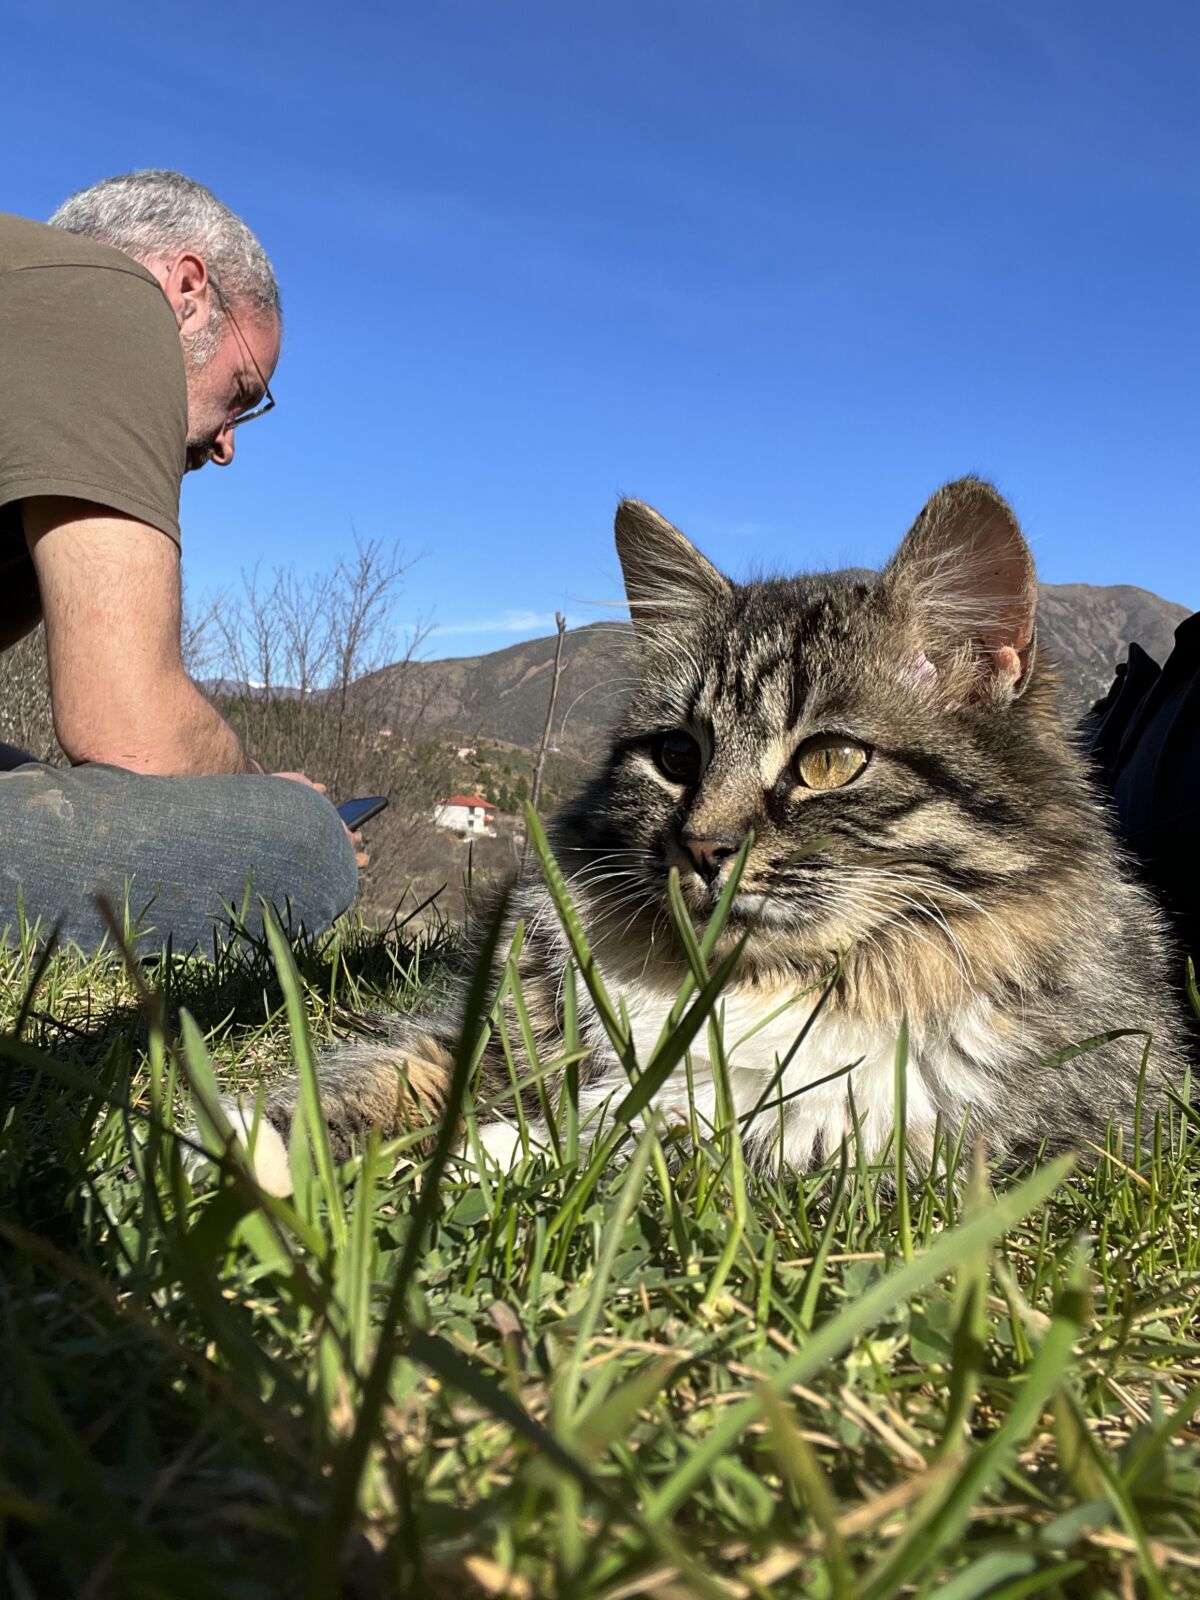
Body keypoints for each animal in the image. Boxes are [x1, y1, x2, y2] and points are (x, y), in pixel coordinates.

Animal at [225, 478, 1187, 1194]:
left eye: (830, 761)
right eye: (677, 756)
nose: (702, 849)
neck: (744, 979)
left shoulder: (883, 1138)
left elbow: (642, 1132)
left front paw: (482, 1156)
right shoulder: (492, 1036)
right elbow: (376, 1080)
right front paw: (236, 1138)